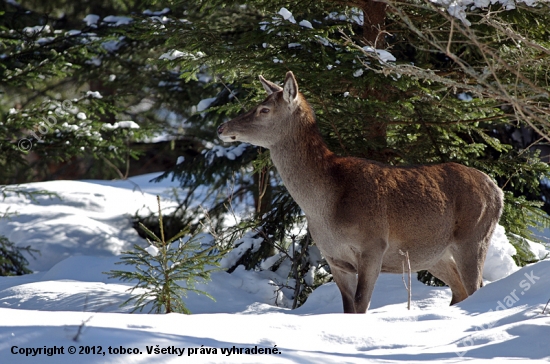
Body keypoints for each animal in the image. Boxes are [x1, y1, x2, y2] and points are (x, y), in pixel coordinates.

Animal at [218, 71, 506, 312]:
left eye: (264, 109)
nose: (222, 128)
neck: (327, 206)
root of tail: (496, 189)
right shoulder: (334, 258)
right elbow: (349, 308)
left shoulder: (373, 245)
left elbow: (361, 305)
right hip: (434, 254)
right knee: (460, 291)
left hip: (474, 235)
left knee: (475, 286)